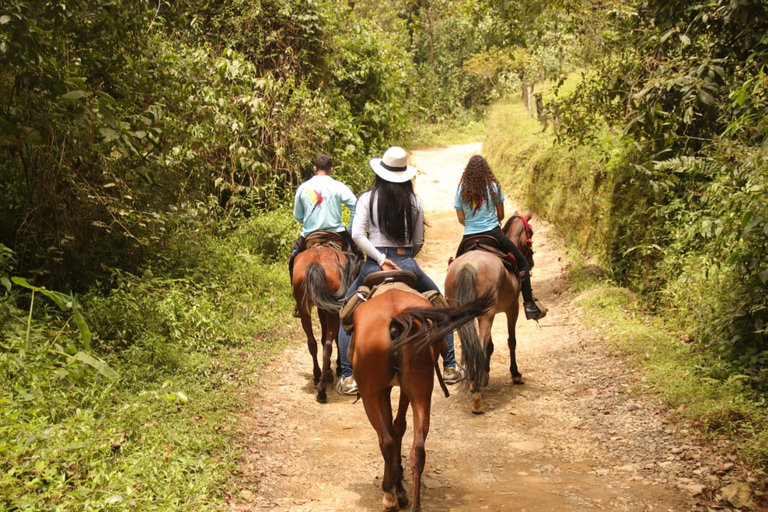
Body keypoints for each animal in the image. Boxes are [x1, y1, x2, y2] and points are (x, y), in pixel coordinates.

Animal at [292, 244, 358, 404]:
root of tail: (316, 262)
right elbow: (335, 340)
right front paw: (337, 368)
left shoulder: (322, 307)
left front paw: (328, 370)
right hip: (332, 312)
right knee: (328, 345)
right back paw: (322, 390)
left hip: (304, 309)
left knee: (312, 343)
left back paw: (317, 375)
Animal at [352, 286, 488, 510]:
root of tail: (396, 318)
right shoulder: (402, 390)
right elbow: (398, 426)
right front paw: (400, 484)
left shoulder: (385, 391)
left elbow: (393, 427)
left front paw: (397, 485)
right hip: (421, 391)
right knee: (418, 447)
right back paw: (413, 503)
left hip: (369, 395)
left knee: (386, 441)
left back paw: (389, 495)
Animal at [444, 210, 536, 414]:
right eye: (531, 233)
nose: (532, 261)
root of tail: (468, 265)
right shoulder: (512, 308)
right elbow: (511, 341)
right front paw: (515, 374)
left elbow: (490, 345)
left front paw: (485, 374)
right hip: (488, 314)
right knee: (479, 343)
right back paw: (477, 397)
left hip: (465, 314)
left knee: (471, 345)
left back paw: (474, 381)